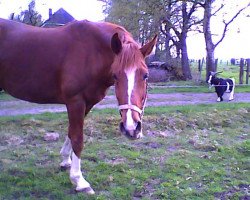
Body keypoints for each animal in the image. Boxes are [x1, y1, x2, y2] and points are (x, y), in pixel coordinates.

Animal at [0, 18, 156, 194]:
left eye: (145, 75)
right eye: (115, 75)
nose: (131, 128)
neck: (92, 51)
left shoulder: (86, 104)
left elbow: (70, 132)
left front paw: (65, 161)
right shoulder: (75, 101)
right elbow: (77, 138)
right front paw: (79, 181)